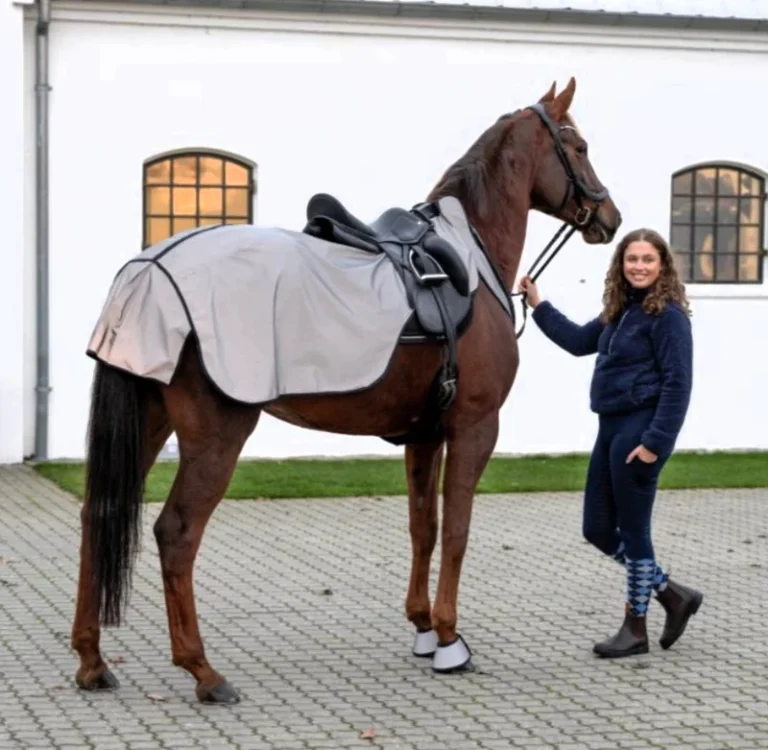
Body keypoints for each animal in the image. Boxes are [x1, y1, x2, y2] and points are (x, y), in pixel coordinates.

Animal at [71, 77, 622, 704]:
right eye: (578, 147)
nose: (610, 215)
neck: (470, 259)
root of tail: (149, 272)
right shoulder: (475, 427)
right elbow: (457, 528)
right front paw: (450, 640)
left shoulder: (425, 434)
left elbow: (423, 527)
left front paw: (423, 627)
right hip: (218, 434)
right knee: (176, 534)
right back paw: (203, 671)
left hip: (150, 420)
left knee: (98, 514)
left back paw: (92, 661)